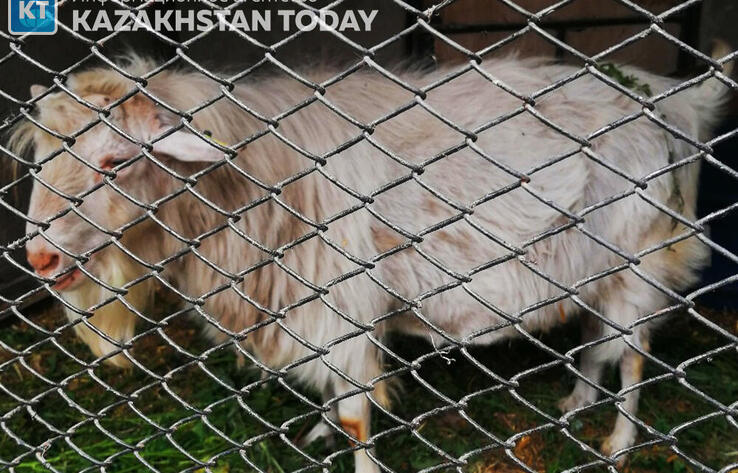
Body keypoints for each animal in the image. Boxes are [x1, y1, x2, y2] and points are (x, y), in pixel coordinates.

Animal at [13, 46, 732, 472]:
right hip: (591, 264)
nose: (39, 258)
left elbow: (358, 411)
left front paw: (345, 444)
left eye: (116, 160)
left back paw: (619, 441)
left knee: (632, 351)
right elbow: (336, 397)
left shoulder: (341, 302)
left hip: (637, 255)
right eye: (43, 157)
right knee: (597, 336)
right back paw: (575, 402)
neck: (262, 178)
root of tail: (668, 101)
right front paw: (317, 435)